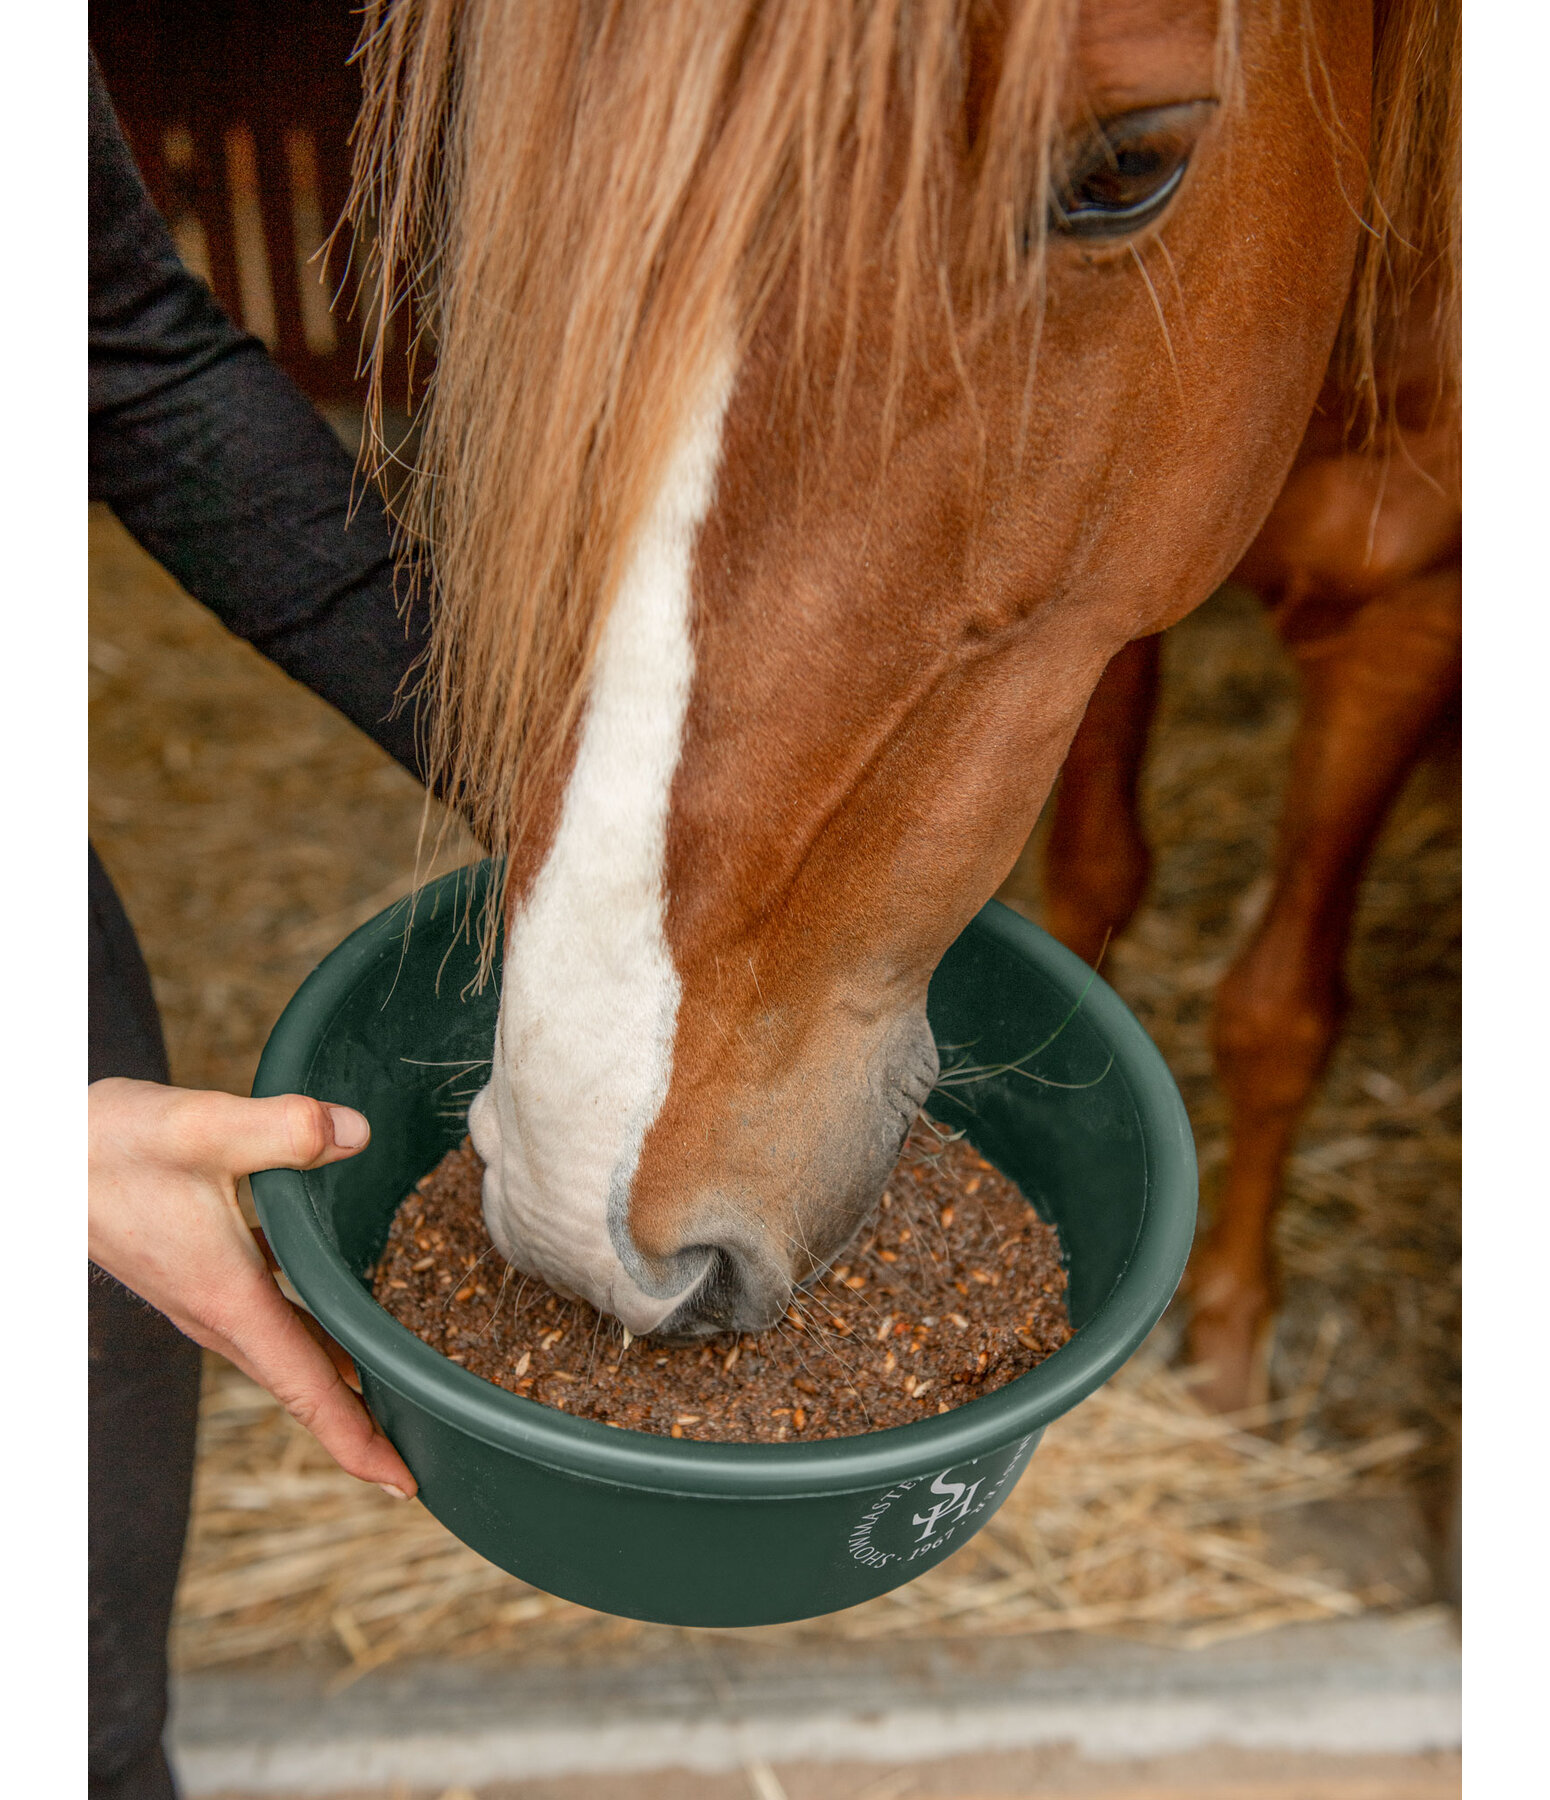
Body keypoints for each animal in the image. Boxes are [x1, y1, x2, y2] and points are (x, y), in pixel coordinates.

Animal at [343, 0, 1454, 1353]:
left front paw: (1231, 1324)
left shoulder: (1400, 617)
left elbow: (1275, 1010)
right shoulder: (1108, 605)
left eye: (1126, 167)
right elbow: (1095, 881)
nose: (576, 1226)